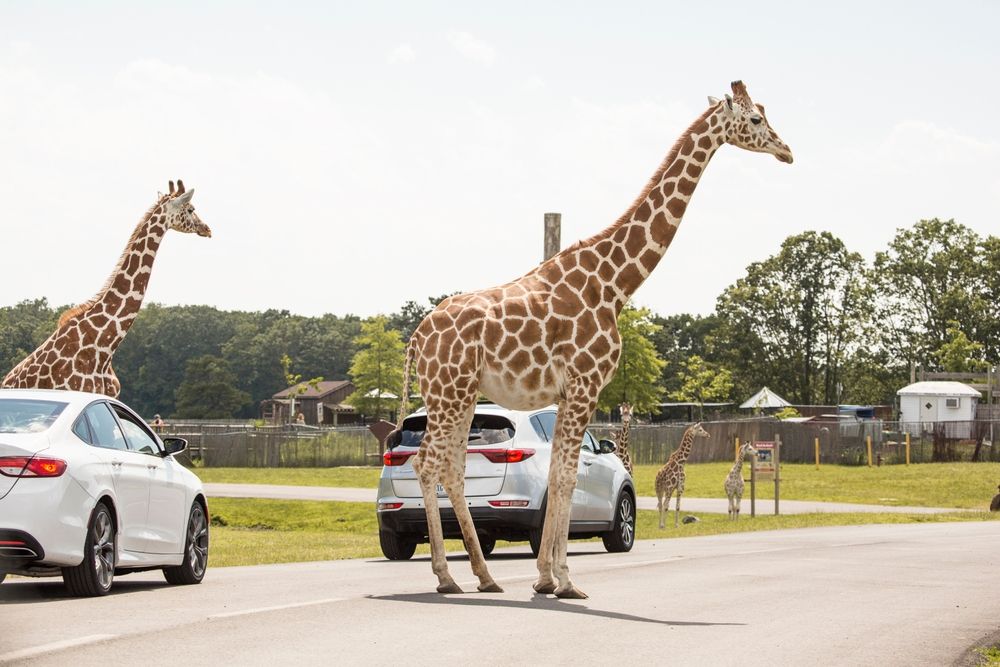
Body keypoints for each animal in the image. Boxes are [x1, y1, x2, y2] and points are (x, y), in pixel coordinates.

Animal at [389, 80, 792, 599]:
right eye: (757, 119)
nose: (787, 150)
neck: (614, 283)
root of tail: (417, 336)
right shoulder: (586, 385)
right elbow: (563, 478)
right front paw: (564, 580)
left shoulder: (569, 393)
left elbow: (560, 476)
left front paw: (544, 578)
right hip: (448, 391)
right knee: (426, 464)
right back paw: (445, 578)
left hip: (460, 395)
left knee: (452, 469)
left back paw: (484, 576)